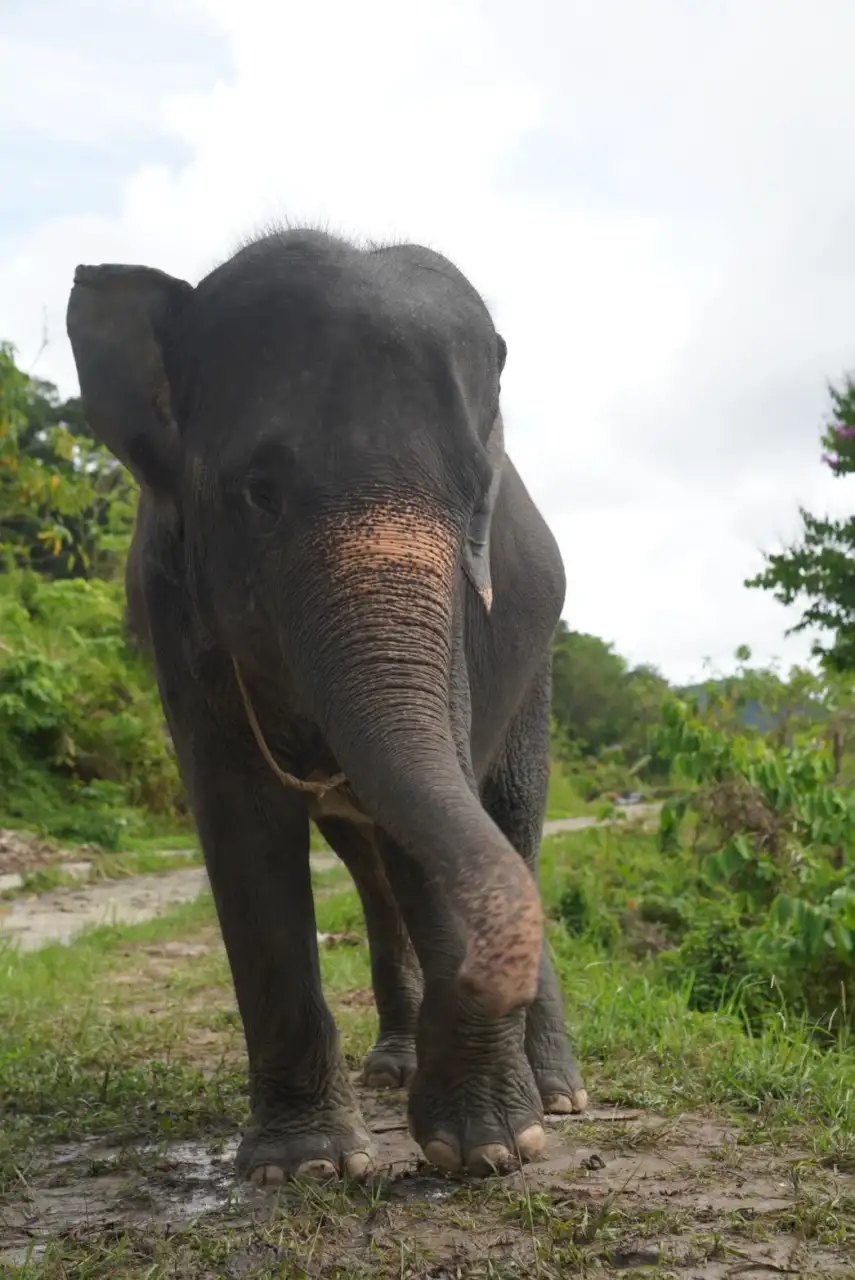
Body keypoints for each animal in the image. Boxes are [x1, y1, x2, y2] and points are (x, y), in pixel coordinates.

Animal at [65, 228, 588, 1185]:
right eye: (258, 494)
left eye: (476, 500)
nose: (481, 977)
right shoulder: (169, 606)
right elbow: (239, 824)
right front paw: (302, 1165)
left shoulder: (466, 624)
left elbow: (448, 800)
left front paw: (489, 1148)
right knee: (378, 865)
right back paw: (396, 1067)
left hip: (536, 674)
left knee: (509, 820)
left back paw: (557, 1095)